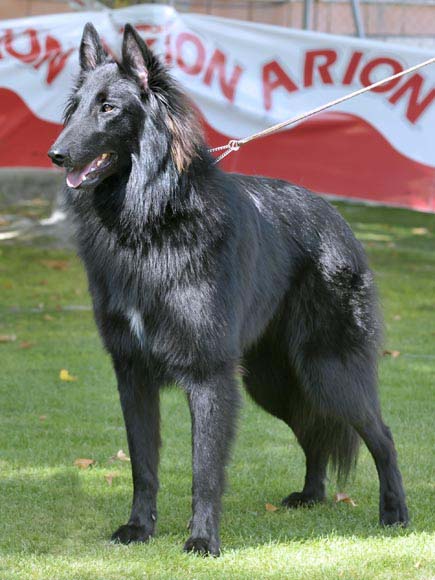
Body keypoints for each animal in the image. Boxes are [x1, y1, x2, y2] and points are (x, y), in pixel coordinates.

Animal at [48, 23, 408, 556]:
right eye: (74, 109)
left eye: (109, 108)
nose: (55, 154)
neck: (150, 220)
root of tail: (338, 220)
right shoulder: (132, 374)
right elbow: (143, 465)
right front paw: (139, 529)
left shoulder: (208, 375)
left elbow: (205, 467)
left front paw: (201, 539)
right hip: (274, 382)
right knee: (315, 434)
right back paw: (312, 494)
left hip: (329, 372)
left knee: (382, 435)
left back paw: (395, 512)